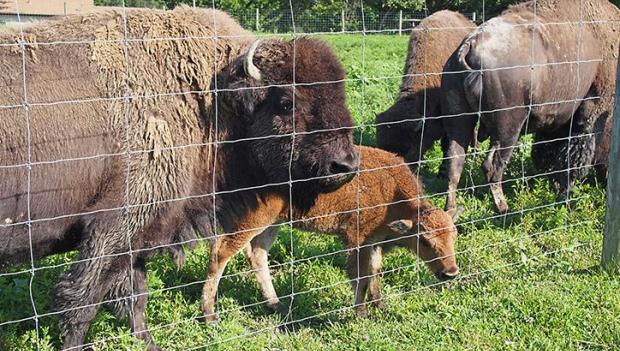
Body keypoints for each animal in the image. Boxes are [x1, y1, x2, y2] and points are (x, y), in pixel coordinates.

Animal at [0, 6, 358, 351]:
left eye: (340, 96)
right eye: (286, 102)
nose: (345, 164)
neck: (210, 98)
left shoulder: (141, 235)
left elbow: (135, 297)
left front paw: (149, 343)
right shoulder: (113, 229)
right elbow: (81, 300)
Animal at [200, 146, 460, 320]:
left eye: (453, 236)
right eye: (424, 240)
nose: (450, 273)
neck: (391, 190)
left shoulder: (374, 241)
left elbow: (375, 272)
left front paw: (381, 306)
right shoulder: (357, 240)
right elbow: (360, 278)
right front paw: (361, 314)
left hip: (272, 223)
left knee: (257, 255)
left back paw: (277, 305)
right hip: (251, 221)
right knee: (220, 254)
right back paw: (210, 314)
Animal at [444, 0, 616, 213]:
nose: (606, 180)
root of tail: (470, 44)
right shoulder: (587, 115)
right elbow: (572, 159)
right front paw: (564, 197)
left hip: (460, 122)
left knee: (455, 162)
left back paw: (451, 209)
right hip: (509, 128)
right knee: (492, 165)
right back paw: (503, 208)